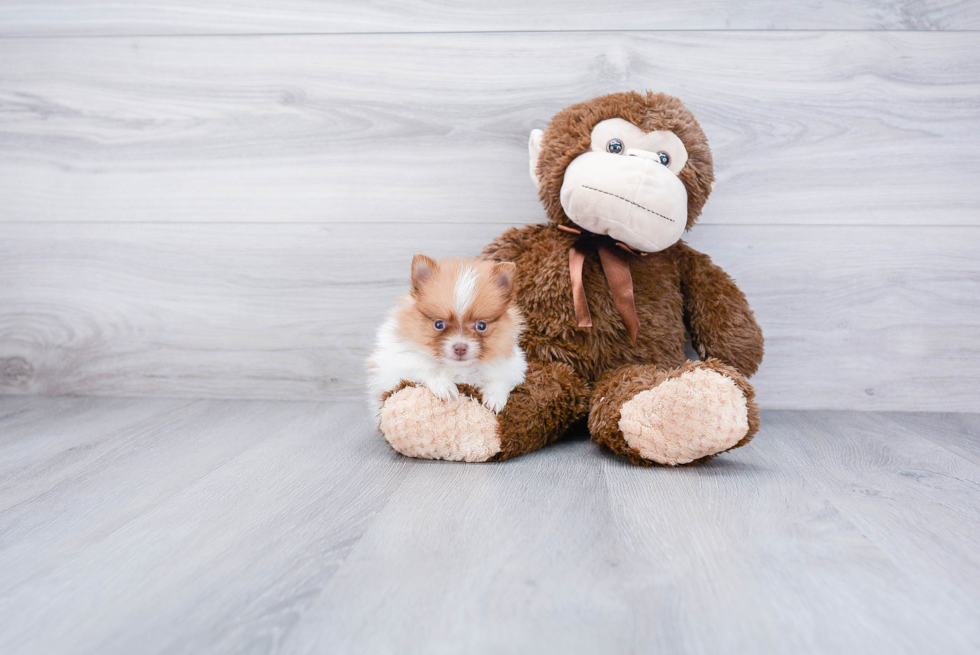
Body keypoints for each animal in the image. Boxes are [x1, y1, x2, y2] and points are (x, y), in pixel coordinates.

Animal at [364, 255, 524, 416]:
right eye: (439, 324)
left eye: (481, 326)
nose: (460, 348)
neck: (457, 368)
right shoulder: (395, 367)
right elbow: (426, 369)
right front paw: (444, 386)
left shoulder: (513, 366)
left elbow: (500, 379)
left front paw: (494, 398)